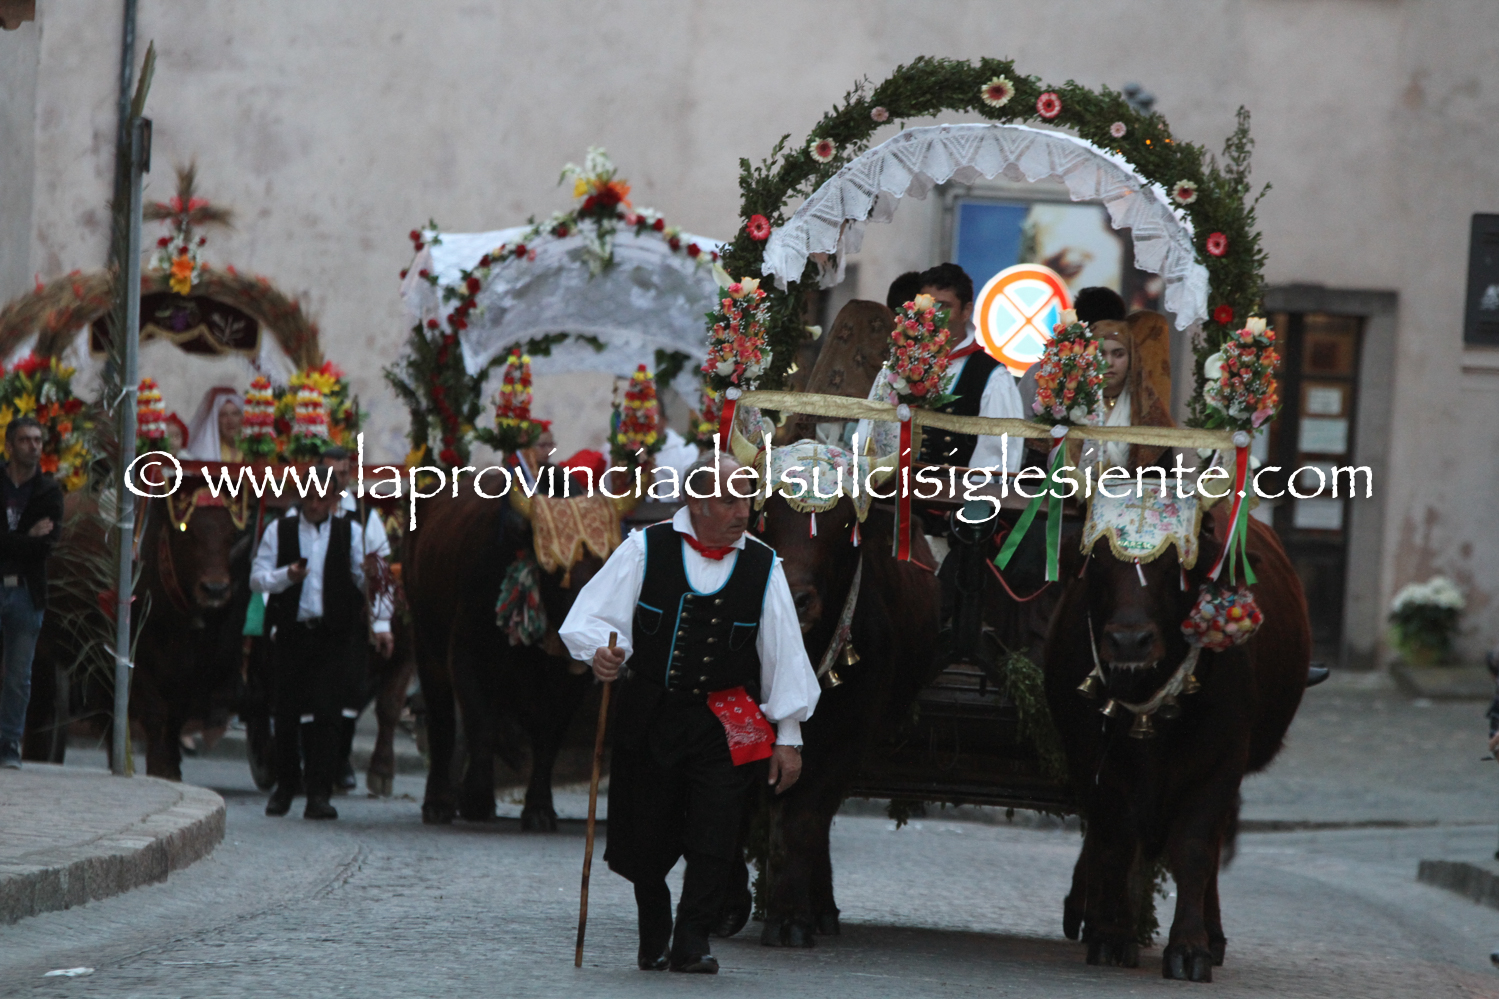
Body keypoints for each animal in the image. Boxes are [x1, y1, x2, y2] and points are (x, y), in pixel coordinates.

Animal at [1044, 506, 1309, 982]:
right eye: (1098, 564)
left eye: (1174, 569)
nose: (1129, 641)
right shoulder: (1092, 762)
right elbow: (1115, 841)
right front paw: (1112, 934)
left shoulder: (1219, 764)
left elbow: (1194, 849)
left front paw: (1189, 948)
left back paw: (1213, 934)